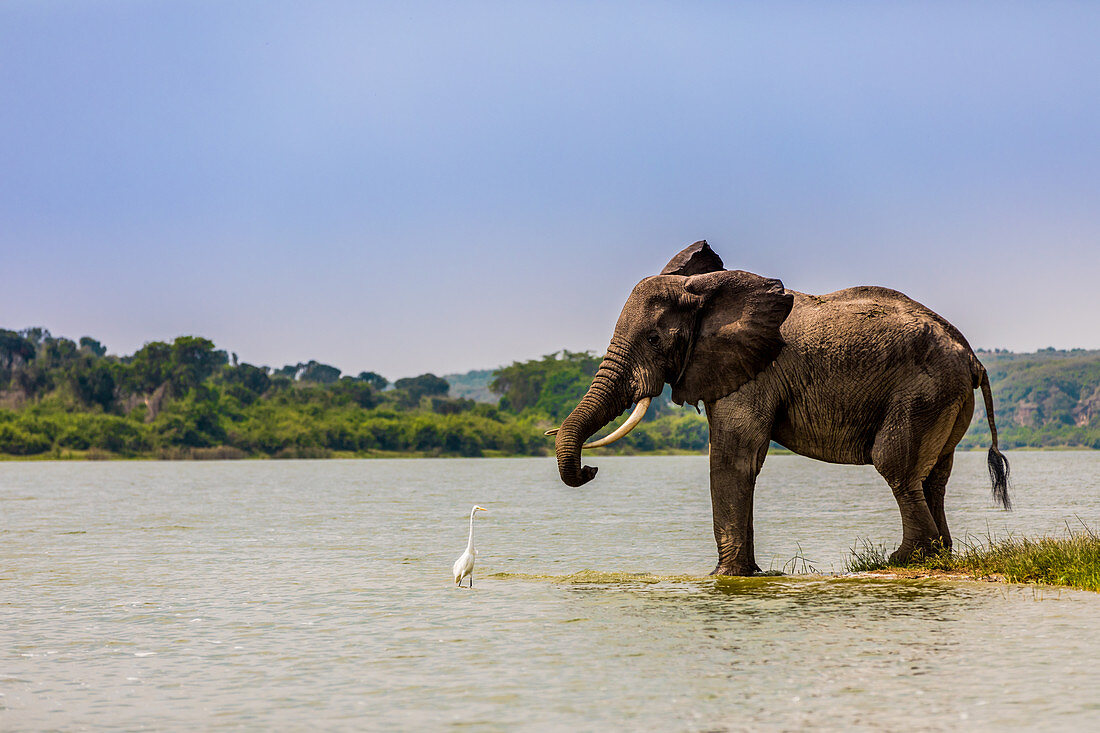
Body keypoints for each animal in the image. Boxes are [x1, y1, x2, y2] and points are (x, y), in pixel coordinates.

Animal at [554, 242, 1007, 572]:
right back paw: (938, 554)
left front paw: (726, 577)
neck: (706, 290)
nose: (591, 470)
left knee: (895, 464)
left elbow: (732, 457)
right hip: (948, 398)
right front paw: (749, 574)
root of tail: (972, 358)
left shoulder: (754, 371)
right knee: (933, 476)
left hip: (924, 391)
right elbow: (743, 460)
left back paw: (901, 560)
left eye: (652, 339)